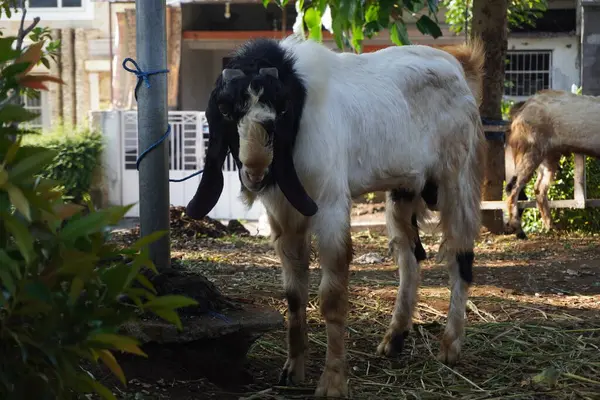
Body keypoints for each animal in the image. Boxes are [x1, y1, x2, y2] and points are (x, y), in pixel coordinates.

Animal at [188, 34, 488, 396]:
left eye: (281, 110)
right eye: (225, 110)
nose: (256, 171)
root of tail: (460, 67)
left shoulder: (330, 205)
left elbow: (331, 297)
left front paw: (332, 382)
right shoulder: (284, 215)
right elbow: (294, 295)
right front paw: (293, 369)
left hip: (457, 179)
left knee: (460, 257)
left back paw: (450, 345)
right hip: (403, 189)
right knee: (410, 257)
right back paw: (395, 338)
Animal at [506, 90, 600, 239]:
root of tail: (522, 108)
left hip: (549, 156)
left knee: (539, 189)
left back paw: (550, 226)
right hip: (530, 152)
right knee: (513, 187)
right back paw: (519, 230)